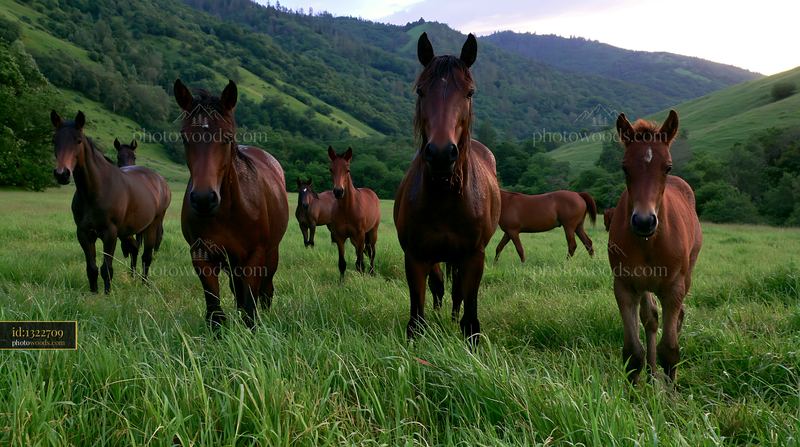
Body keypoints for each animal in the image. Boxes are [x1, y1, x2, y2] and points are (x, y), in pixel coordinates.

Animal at [51, 111, 171, 293]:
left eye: (78, 140)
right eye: (54, 141)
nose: (62, 174)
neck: (96, 191)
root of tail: (160, 180)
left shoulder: (110, 233)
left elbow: (106, 269)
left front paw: (107, 295)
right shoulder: (84, 233)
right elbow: (92, 269)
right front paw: (94, 294)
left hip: (153, 225)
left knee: (147, 256)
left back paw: (144, 284)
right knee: (135, 248)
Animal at [173, 79, 289, 329]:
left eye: (226, 137)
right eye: (185, 138)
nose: (204, 199)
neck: (227, 212)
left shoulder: (255, 257)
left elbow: (250, 309)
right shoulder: (201, 255)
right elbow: (215, 313)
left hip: (270, 254)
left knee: (265, 291)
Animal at [327, 146, 380, 279]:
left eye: (348, 170)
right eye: (331, 169)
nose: (338, 191)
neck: (347, 209)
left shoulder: (360, 235)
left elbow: (360, 263)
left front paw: (362, 279)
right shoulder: (340, 237)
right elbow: (342, 263)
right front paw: (341, 282)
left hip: (372, 232)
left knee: (372, 253)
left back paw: (371, 272)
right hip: (354, 239)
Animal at [394, 32, 501, 344]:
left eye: (469, 93)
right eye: (420, 91)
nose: (441, 154)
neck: (445, 199)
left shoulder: (474, 256)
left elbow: (469, 314)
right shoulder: (416, 257)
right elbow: (417, 319)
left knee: (456, 293)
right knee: (441, 287)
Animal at [608, 110, 702, 384]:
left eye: (667, 167)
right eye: (625, 167)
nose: (643, 221)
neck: (649, 242)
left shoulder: (674, 288)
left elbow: (669, 350)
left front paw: (671, 395)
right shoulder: (625, 286)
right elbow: (633, 352)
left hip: (687, 274)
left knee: (676, 317)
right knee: (650, 319)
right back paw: (651, 375)